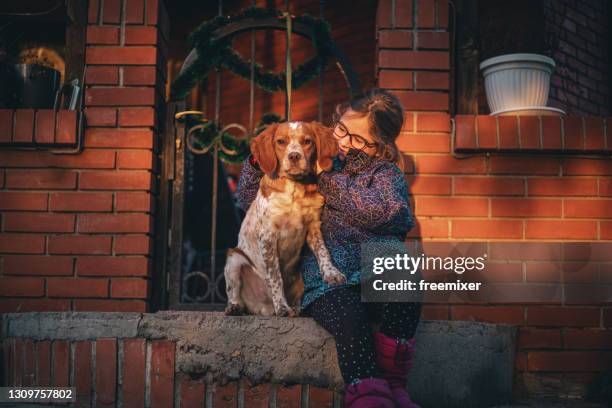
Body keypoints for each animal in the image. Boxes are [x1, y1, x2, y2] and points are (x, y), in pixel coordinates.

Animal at [225, 119, 350, 318]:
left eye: (307, 141)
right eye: (281, 142)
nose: (294, 156)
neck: (295, 190)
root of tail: (264, 309)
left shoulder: (313, 226)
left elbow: (323, 252)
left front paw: (332, 273)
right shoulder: (268, 236)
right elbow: (275, 277)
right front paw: (282, 307)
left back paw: (298, 309)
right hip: (234, 258)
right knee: (234, 292)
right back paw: (235, 307)